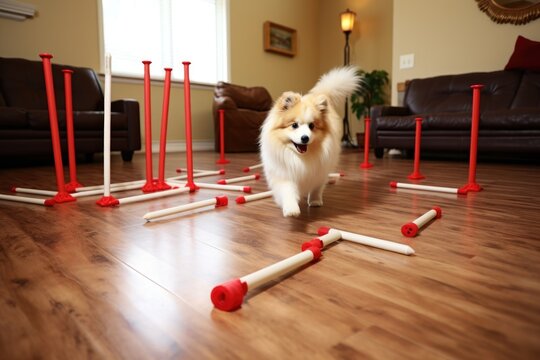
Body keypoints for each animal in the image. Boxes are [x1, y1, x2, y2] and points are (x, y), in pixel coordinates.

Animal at [260, 67, 360, 217]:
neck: (301, 158)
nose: (305, 138)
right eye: (294, 125)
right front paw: (291, 209)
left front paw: (315, 201)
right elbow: (287, 191)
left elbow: (316, 188)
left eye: (312, 126)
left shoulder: (319, 173)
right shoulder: (284, 173)